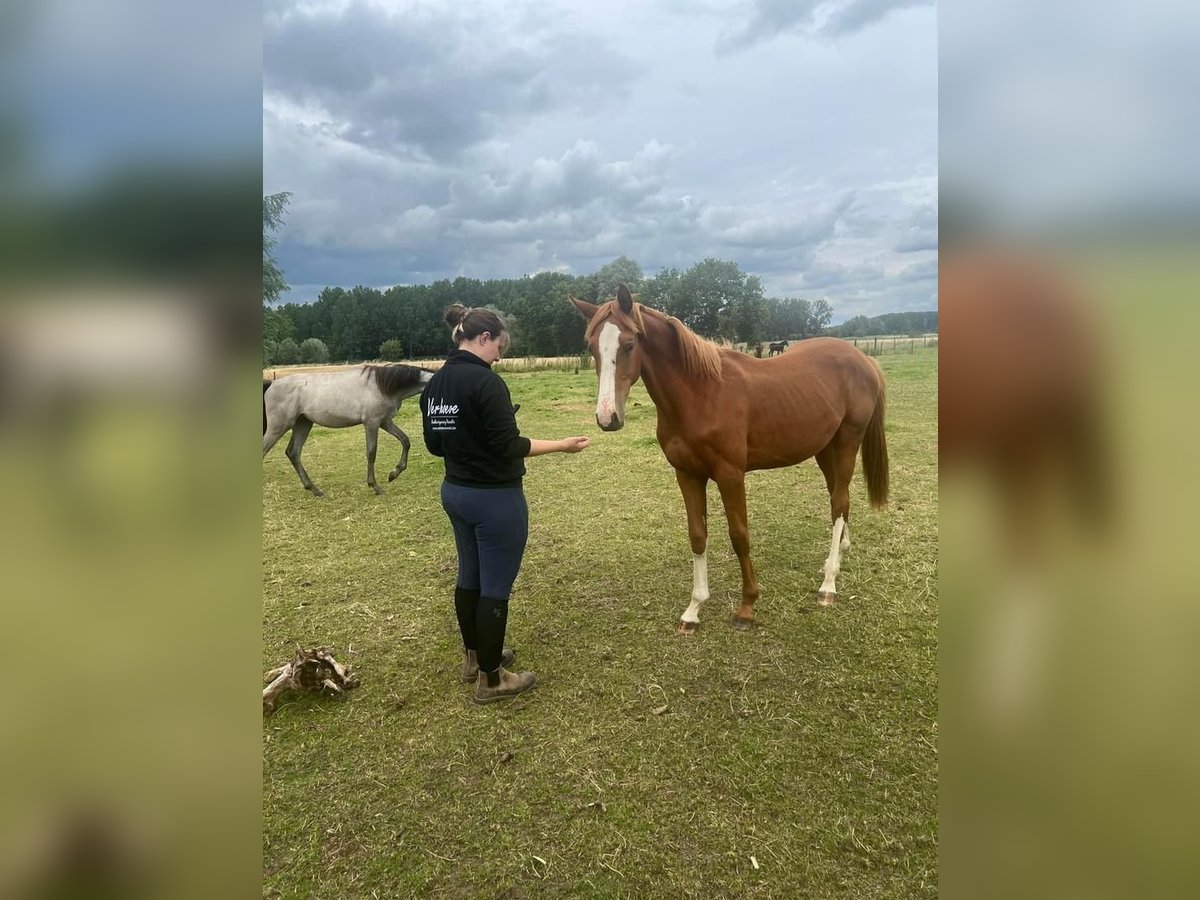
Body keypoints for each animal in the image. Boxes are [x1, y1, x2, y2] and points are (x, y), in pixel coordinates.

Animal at [262, 362, 436, 496]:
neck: (382, 386)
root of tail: (272, 384)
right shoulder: (372, 423)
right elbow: (371, 453)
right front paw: (375, 486)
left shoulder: (385, 422)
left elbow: (405, 440)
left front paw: (393, 474)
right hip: (278, 427)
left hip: (303, 424)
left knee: (293, 453)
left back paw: (314, 489)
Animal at [571, 286, 892, 633]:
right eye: (592, 347)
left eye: (629, 344)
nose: (607, 417)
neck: (701, 394)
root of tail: (864, 360)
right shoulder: (687, 474)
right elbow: (697, 536)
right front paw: (694, 609)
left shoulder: (730, 474)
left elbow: (739, 536)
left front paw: (747, 605)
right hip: (825, 449)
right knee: (839, 501)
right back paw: (836, 559)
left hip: (847, 443)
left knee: (839, 504)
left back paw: (828, 584)